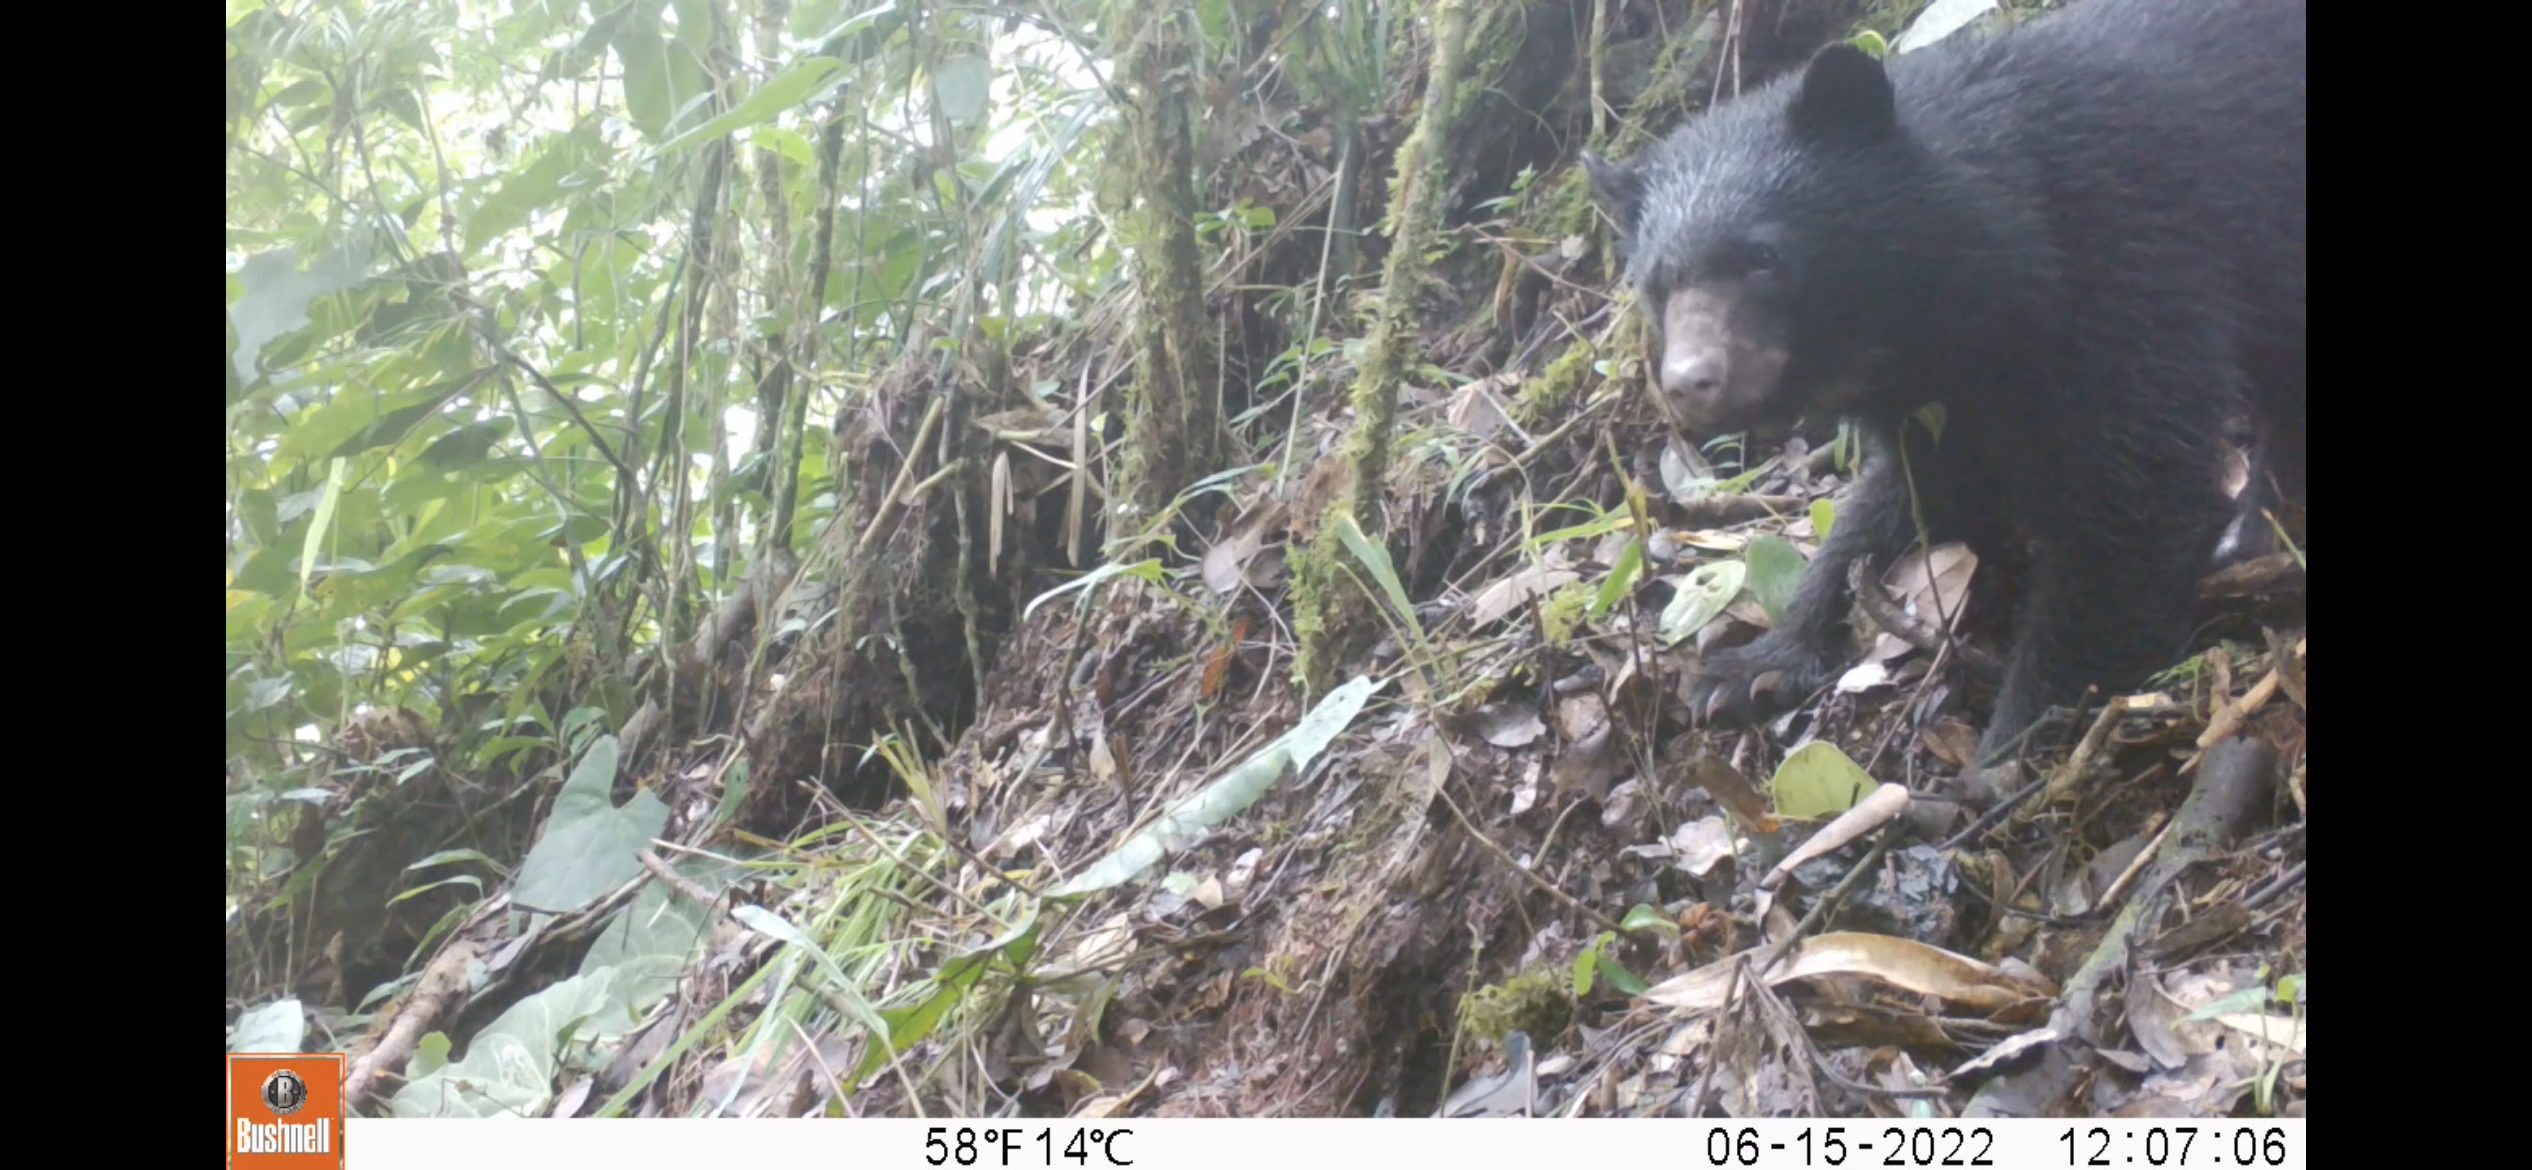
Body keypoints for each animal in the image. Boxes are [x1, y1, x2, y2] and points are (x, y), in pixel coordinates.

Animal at [1582, 0, 2305, 791]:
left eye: (1763, 256)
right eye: (1655, 284)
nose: (1691, 382)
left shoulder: (2131, 265)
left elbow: (2134, 497)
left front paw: (2014, 750)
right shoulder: (1944, 388)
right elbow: (1921, 492)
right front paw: (1750, 667)